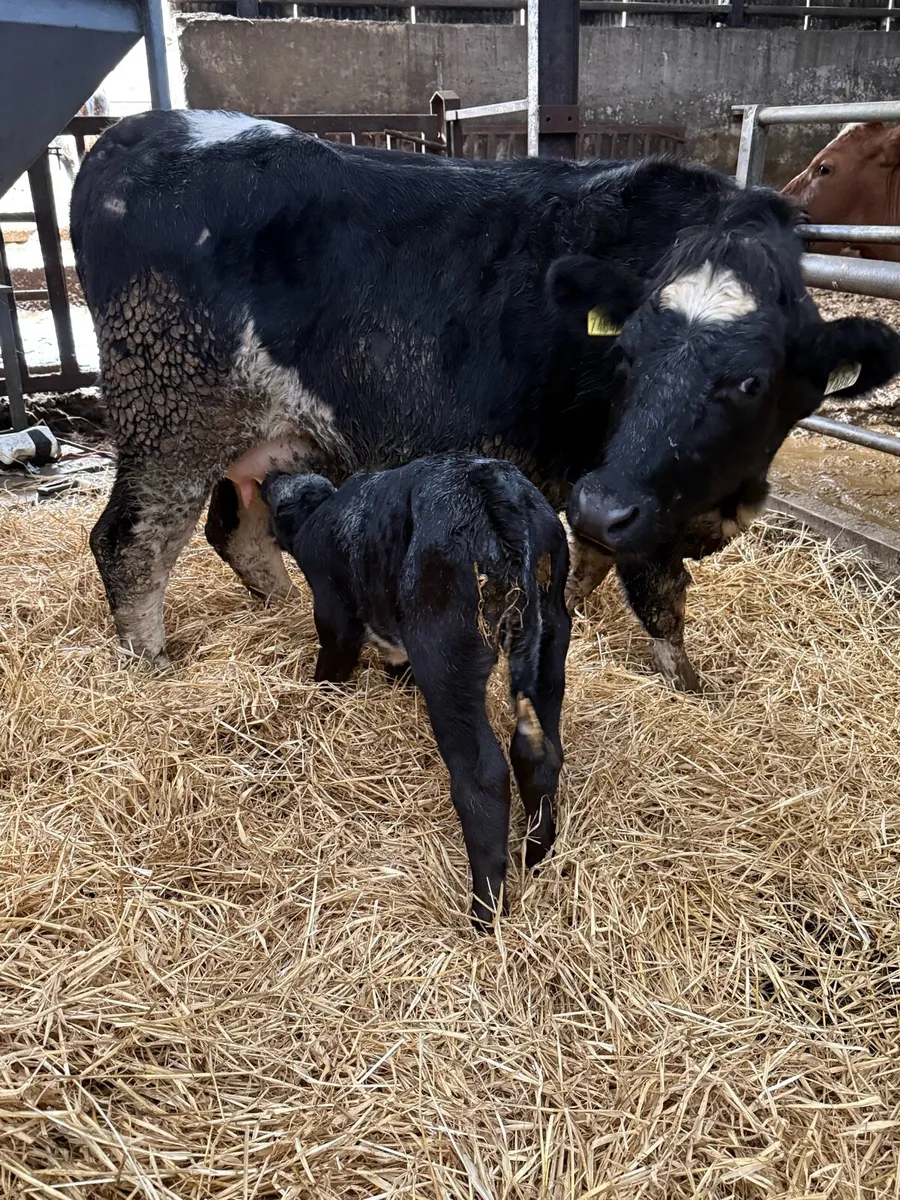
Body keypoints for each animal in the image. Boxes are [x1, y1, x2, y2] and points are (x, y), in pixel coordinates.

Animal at [262, 454, 570, 927]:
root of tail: (497, 490)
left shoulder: (334, 615)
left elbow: (333, 661)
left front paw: (320, 693)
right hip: (551, 642)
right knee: (540, 754)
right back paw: (536, 854)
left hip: (444, 655)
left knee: (482, 779)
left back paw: (485, 913)